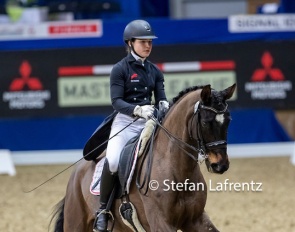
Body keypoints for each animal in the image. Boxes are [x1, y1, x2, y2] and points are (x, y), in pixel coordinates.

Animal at [49, 84, 237, 232]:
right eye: (205, 122)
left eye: (228, 120)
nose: (220, 165)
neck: (177, 169)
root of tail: (77, 170)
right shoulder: (160, 223)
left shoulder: (196, 220)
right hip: (76, 223)